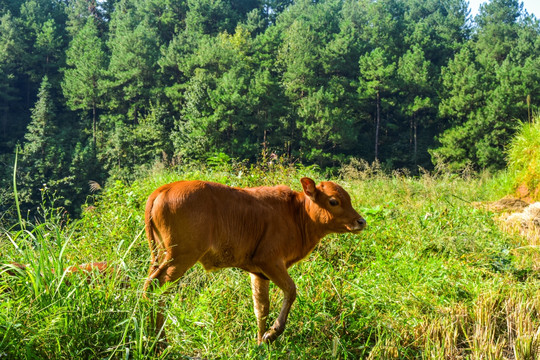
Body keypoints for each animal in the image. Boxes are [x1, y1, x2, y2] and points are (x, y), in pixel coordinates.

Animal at [142, 177, 368, 344]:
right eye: (333, 201)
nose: (361, 221)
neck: (296, 214)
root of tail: (164, 189)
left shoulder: (259, 272)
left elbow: (261, 308)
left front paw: (260, 342)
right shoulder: (270, 260)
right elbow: (291, 290)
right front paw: (273, 333)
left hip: (161, 255)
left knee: (150, 285)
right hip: (180, 256)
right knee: (157, 288)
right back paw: (160, 342)